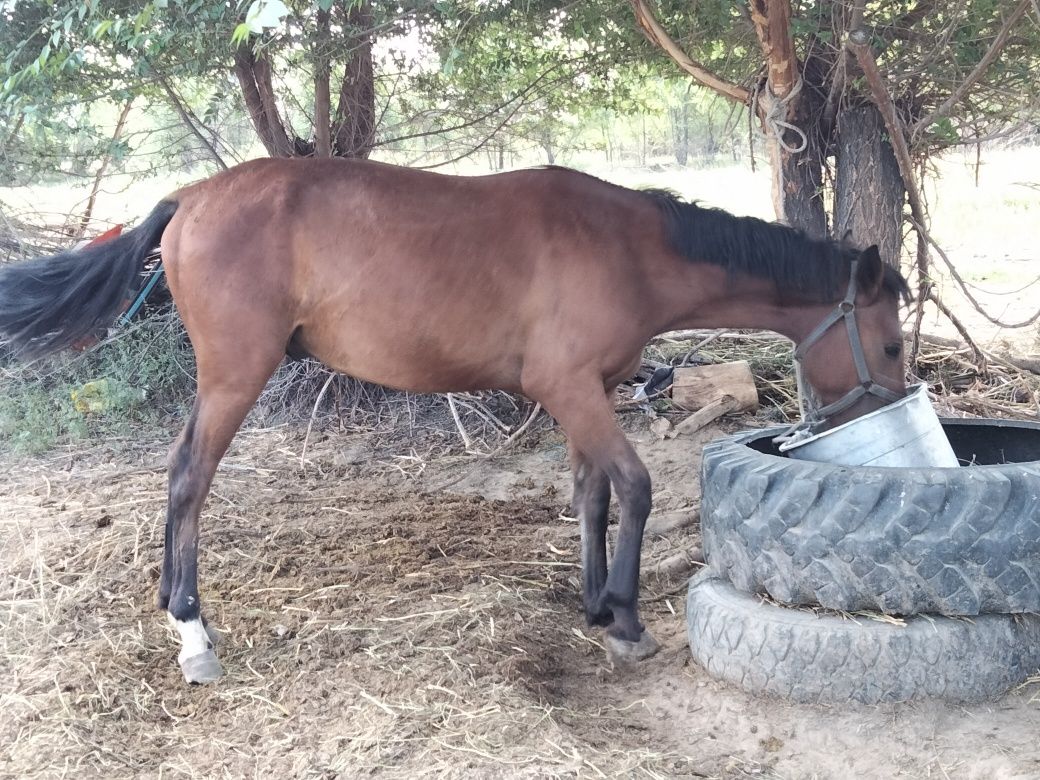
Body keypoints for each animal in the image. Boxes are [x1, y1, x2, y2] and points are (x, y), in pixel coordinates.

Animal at [0, 160, 911, 682]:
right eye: (893, 345)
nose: (882, 418)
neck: (629, 246)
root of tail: (190, 198)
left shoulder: (584, 393)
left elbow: (593, 496)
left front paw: (595, 606)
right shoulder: (571, 388)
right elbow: (636, 488)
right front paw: (624, 617)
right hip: (234, 375)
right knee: (190, 476)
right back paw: (192, 629)